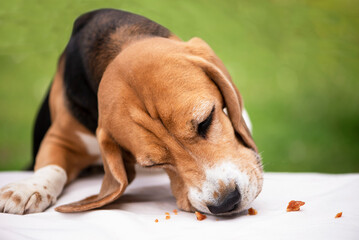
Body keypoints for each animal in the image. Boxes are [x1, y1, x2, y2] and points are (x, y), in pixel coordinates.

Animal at [0, 8, 264, 216]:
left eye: (206, 121)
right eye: (154, 164)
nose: (226, 202)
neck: (115, 42)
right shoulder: (61, 137)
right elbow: (50, 167)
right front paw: (28, 188)